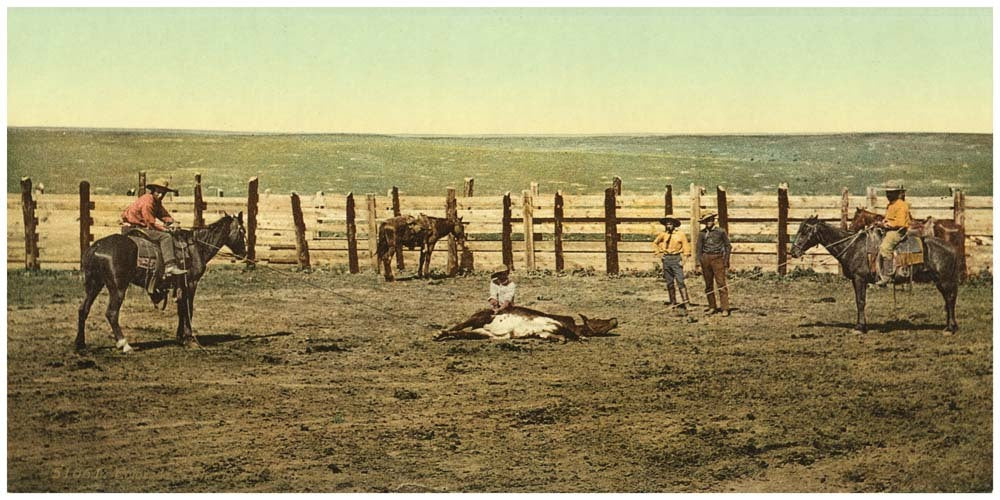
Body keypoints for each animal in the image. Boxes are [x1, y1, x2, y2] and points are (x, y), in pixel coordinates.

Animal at [77, 213, 247, 354]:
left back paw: (80, 344)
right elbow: (188, 309)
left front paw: (180, 338)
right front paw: (190, 339)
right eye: (242, 231)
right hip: (117, 288)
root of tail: (96, 247)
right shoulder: (191, 283)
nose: (243, 254)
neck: (197, 247)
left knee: (83, 309)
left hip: (94, 285)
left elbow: (181, 309)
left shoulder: (181, 285)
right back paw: (125, 345)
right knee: (112, 313)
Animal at [788, 217, 960, 334]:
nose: (793, 252)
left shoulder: (859, 279)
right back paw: (949, 326)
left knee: (950, 299)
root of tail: (952, 248)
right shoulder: (856, 280)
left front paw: (859, 327)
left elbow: (860, 302)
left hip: (944, 280)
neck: (854, 247)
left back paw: (950, 328)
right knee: (948, 300)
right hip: (940, 281)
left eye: (805, 231)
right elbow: (859, 301)